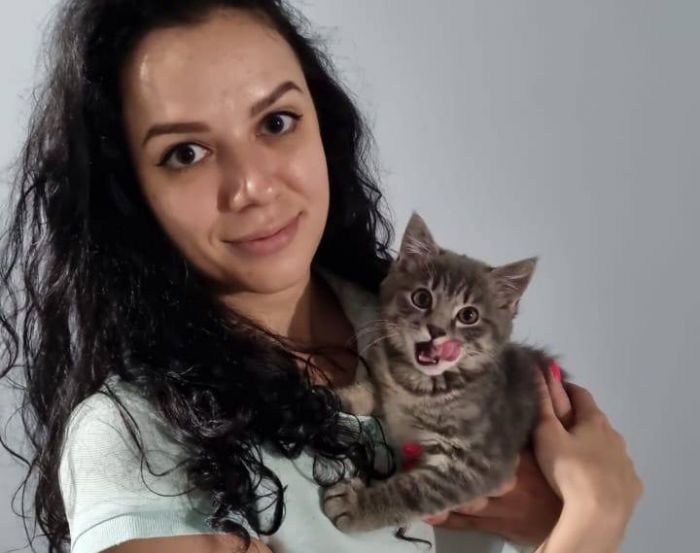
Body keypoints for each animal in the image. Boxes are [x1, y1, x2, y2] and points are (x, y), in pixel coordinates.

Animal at [321, 212, 569, 533]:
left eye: (468, 315)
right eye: (422, 298)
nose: (437, 330)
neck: (421, 386)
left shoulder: (478, 464)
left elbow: (413, 492)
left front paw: (356, 505)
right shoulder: (387, 393)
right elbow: (365, 393)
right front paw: (324, 396)